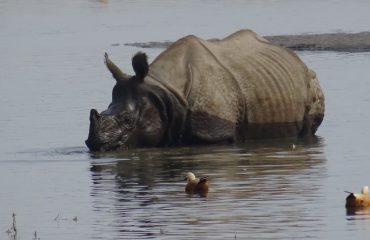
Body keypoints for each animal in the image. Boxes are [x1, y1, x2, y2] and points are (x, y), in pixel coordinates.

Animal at [86, 29, 324, 151]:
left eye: (128, 120)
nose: (95, 145)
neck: (162, 89)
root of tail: (295, 57)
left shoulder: (216, 133)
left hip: (311, 81)